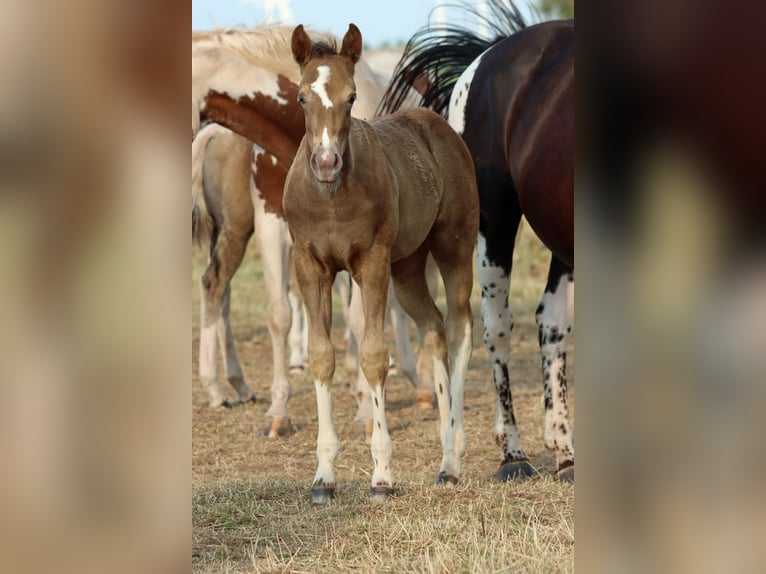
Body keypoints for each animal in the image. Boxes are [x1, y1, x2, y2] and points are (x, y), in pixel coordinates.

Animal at [191, 25, 436, 438]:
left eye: (352, 98)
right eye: (302, 98)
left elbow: (358, 320)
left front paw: (366, 411)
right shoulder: (273, 221)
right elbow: (280, 315)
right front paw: (278, 412)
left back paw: (422, 386)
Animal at [284, 23, 479, 502]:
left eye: (352, 96)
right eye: (301, 97)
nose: (326, 162)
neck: (331, 198)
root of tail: (437, 124)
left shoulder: (370, 264)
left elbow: (373, 355)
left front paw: (382, 476)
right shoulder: (309, 265)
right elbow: (321, 356)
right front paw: (324, 477)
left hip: (454, 248)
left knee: (461, 329)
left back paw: (452, 458)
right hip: (408, 266)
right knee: (434, 328)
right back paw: (444, 445)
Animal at [380, 1, 575, 482]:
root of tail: (491, 50)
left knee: (551, 322)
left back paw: (563, 450)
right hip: (496, 223)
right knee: (498, 327)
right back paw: (514, 454)